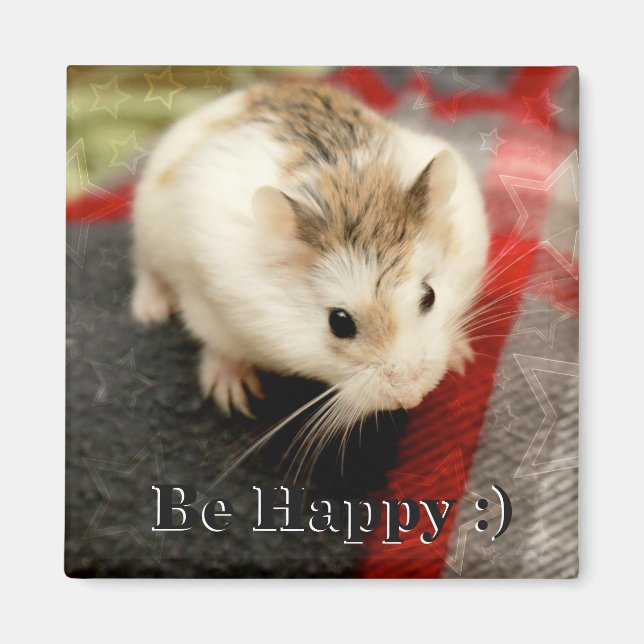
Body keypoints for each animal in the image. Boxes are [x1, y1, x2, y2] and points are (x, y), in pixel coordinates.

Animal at [131, 82, 489, 419]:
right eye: (339, 323)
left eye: (429, 296)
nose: (412, 397)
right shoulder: (206, 306)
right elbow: (220, 345)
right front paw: (233, 397)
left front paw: (462, 357)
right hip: (148, 226)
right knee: (147, 269)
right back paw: (150, 312)